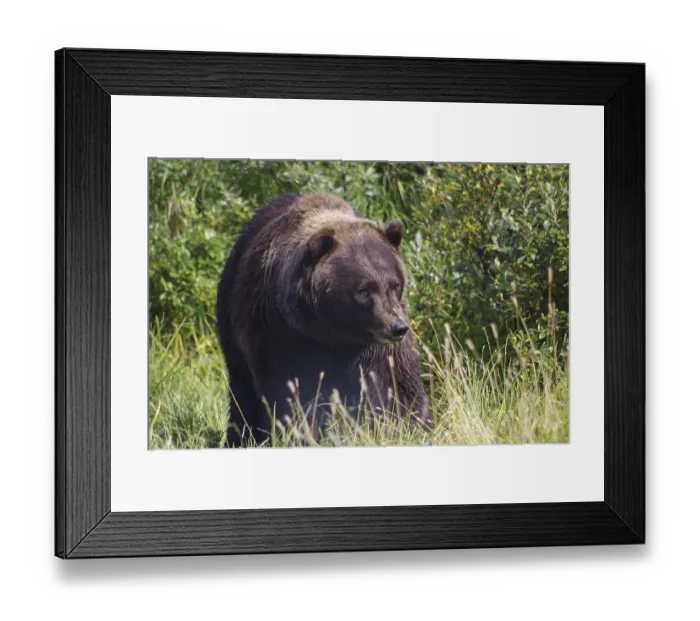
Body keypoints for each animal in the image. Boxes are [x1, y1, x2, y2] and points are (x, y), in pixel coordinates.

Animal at [216, 192, 432, 447]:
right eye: (363, 290)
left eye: (395, 284)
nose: (397, 328)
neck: (334, 333)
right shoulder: (282, 334)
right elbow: (292, 395)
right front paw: (301, 434)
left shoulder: (374, 346)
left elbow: (397, 384)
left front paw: (415, 426)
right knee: (243, 390)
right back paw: (241, 437)